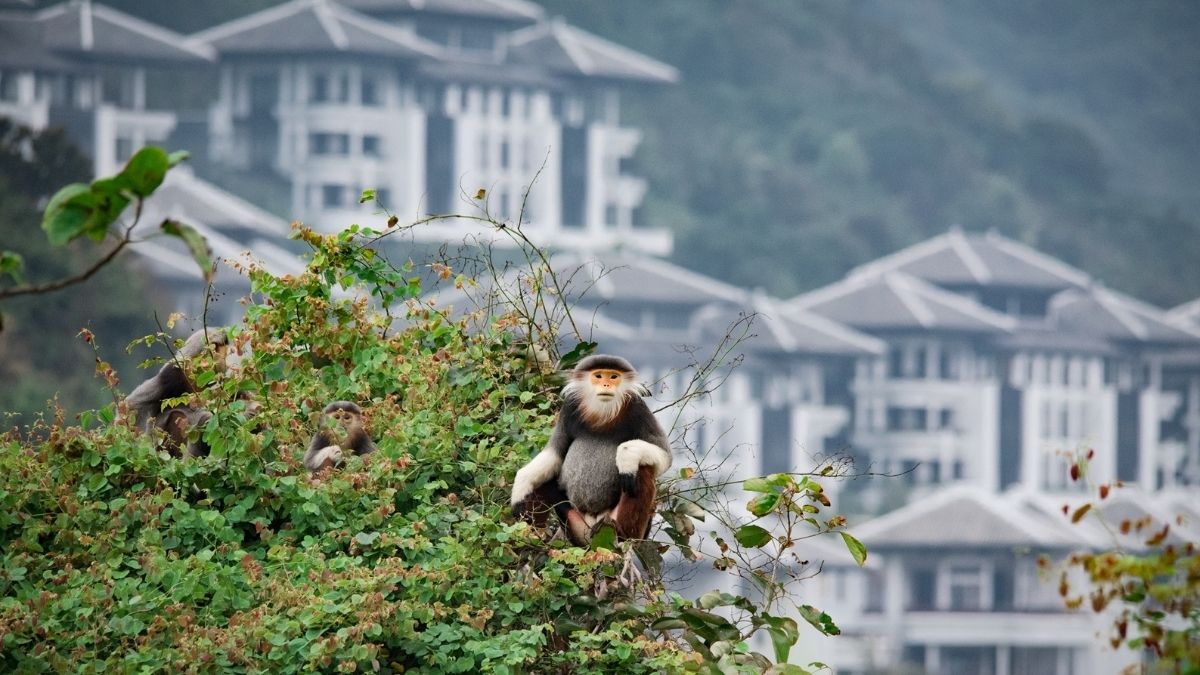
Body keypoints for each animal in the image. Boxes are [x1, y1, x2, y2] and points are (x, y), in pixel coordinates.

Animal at [511, 354, 672, 546]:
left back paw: (623, 534)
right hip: (574, 527)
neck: (602, 413)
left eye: (613, 376)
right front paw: (520, 488)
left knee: (642, 469)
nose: (606, 385)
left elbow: (665, 456)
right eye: (599, 376)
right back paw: (532, 536)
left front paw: (626, 458)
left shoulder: (638, 409)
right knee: (544, 481)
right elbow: (555, 455)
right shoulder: (569, 409)